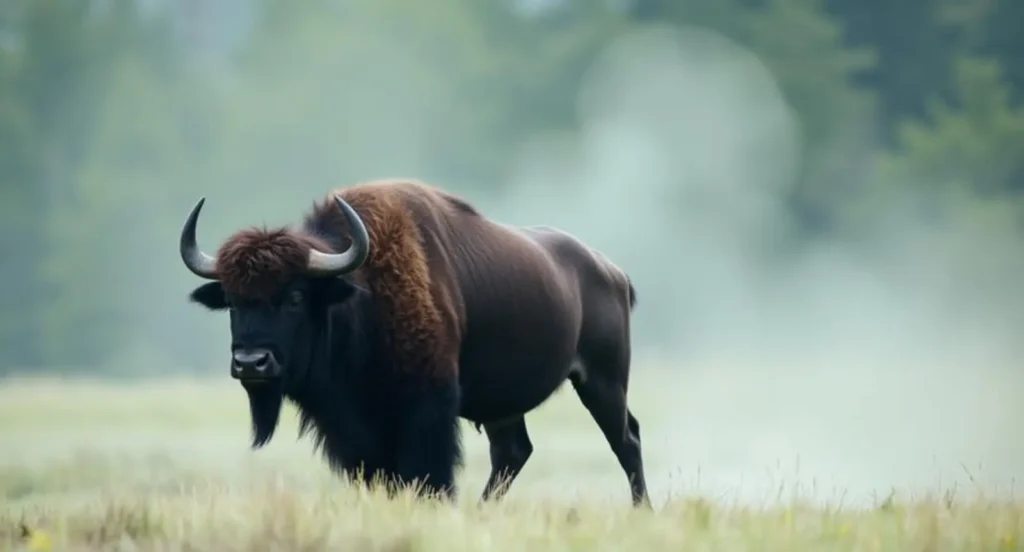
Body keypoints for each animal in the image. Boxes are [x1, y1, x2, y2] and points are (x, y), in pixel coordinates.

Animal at [179, 179, 650, 506]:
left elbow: (430, 476)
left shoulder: (429, 412)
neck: (358, 293)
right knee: (513, 452)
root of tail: (612, 272)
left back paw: (641, 509)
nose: (251, 362)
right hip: (505, 405)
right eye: (233, 301)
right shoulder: (350, 427)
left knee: (626, 440)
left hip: (602, 382)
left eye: (295, 296)